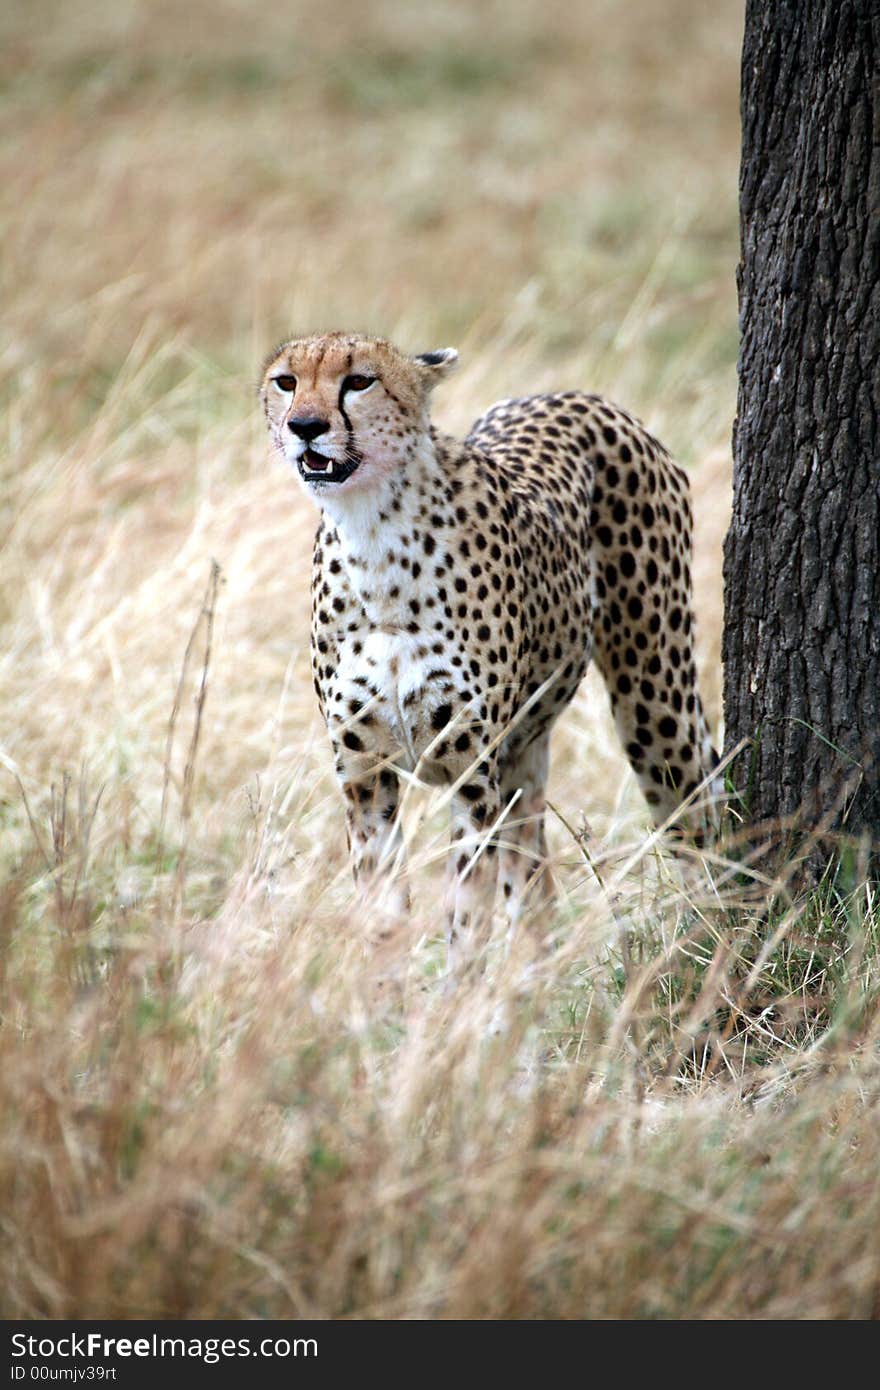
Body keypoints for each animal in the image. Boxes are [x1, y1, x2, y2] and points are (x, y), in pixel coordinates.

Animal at [257, 333, 717, 967]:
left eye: (359, 381)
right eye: (286, 381)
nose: (305, 425)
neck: (373, 537)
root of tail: (571, 394)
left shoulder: (469, 776)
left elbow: (466, 911)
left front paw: (457, 991)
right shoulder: (364, 775)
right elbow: (383, 913)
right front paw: (382, 992)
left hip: (655, 702)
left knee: (695, 814)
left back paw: (716, 944)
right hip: (526, 748)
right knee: (534, 876)